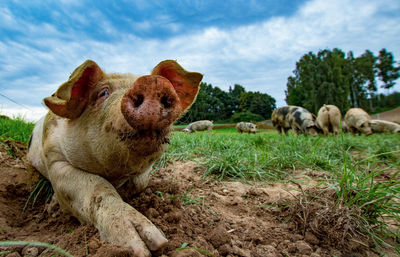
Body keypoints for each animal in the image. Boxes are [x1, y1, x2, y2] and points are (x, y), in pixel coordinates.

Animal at [27, 59, 203, 255]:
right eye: (103, 92)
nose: (151, 82)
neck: (114, 174)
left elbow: (138, 182)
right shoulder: (54, 159)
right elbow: (96, 187)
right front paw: (149, 247)